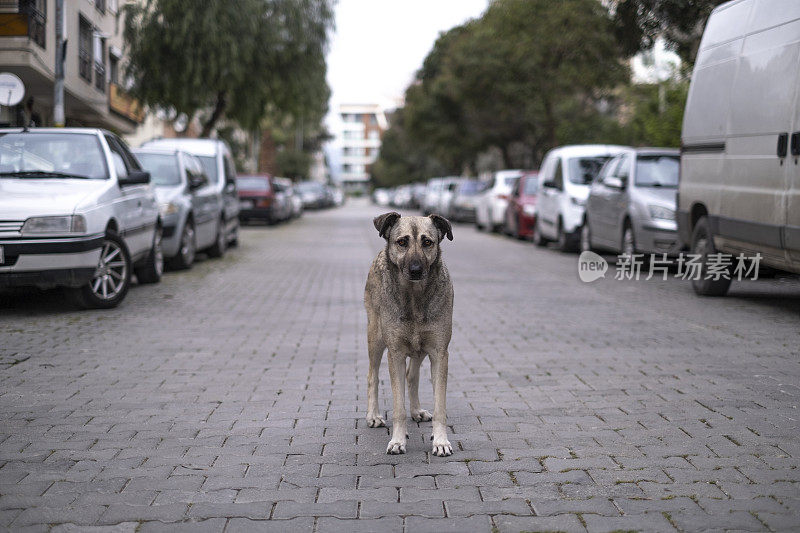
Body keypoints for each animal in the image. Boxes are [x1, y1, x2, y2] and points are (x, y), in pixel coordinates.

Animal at [364, 212, 454, 458]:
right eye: (402, 242)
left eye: (427, 242)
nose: (415, 269)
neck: (414, 297)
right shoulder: (394, 352)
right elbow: (398, 406)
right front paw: (397, 440)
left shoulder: (439, 353)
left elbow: (440, 405)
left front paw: (440, 441)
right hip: (375, 338)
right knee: (372, 376)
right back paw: (373, 416)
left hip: (419, 349)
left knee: (411, 377)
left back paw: (416, 411)